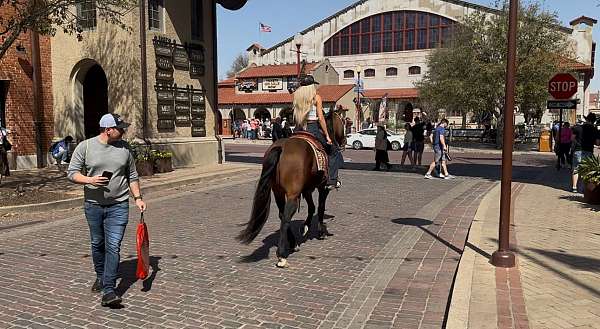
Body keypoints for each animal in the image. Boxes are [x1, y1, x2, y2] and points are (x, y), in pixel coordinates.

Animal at [236, 110, 344, 266]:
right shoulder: (322, 187)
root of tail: (281, 147)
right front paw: (320, 231)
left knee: (282, 214)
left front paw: (305, 226)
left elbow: (312, 207)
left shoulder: (307, 189)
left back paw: (293, 244)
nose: (344, 141)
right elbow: (320, 207)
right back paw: (282, 254)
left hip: (278, 192)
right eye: (343, 122)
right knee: (286, 216)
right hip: (293, 194)